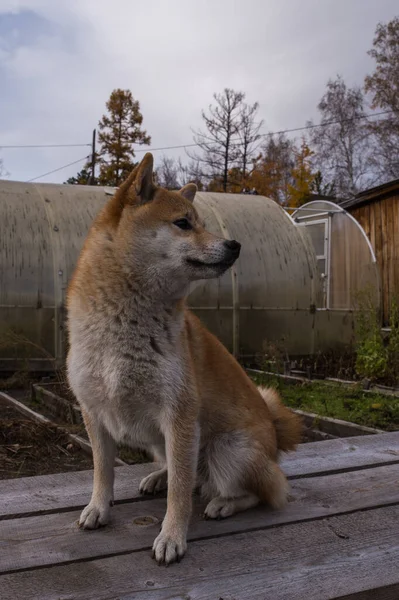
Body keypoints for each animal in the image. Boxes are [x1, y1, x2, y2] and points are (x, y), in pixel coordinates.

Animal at [67, 152, 302, 564]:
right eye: (183, 223)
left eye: (202, 224)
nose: (234, 244)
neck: (123, 322)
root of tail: (274, 436)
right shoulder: (94, 410)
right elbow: (103, 471)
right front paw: (98, 507)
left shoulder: (179, 414)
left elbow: (180, 490)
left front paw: (172, 536)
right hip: (164, 442)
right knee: (189, 474)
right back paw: (157, 477)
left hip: (228, 450)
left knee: (266, 490)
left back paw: (224, 503)